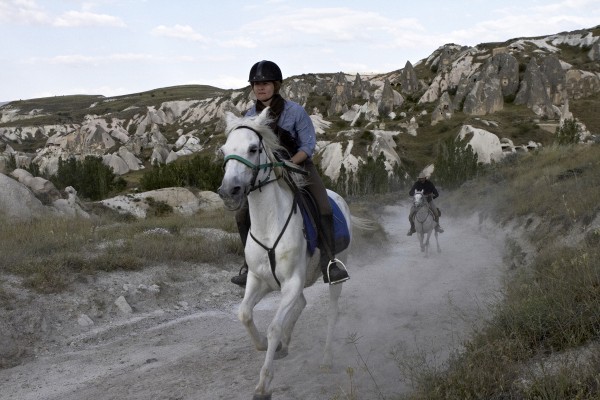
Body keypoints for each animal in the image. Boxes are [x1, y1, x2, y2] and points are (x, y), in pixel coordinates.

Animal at [217, 108, 360, 398]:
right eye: (224, 150)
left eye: (253, 148)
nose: (229, 191)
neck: (269, 223)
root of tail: (339, 198)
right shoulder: (258, 280)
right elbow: (244, 314)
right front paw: (264, 345)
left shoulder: (291, 282)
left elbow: (274, 326)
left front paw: (263, 384)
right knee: (301, 303)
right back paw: (285, 345)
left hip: (333, 276)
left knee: (332, 312)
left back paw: (326, 359)